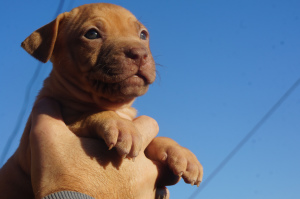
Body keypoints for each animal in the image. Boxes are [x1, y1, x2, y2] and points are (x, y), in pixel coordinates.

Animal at [1, 2, 203, 198]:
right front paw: (121, 127)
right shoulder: (62, 123)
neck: (116, 105)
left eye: (143, 34)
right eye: (92, 34)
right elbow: (89, 115)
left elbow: (158, 139)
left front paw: (181, 153)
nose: (140, 53)